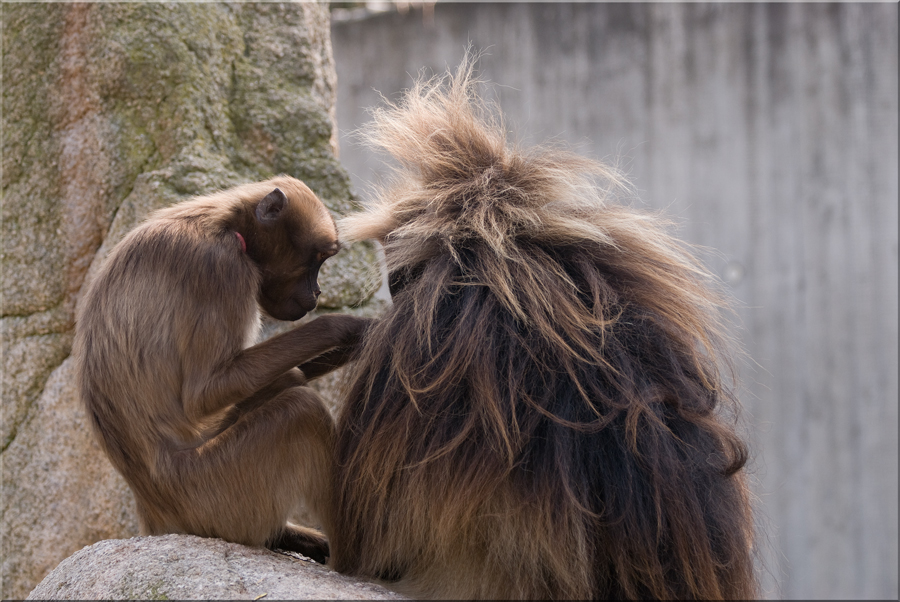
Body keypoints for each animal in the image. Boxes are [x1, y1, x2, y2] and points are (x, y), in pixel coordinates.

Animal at [71, 176, 366, 560]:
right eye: (315, 261)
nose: (317, 292)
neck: (227, 223)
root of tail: (153, 512)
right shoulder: (222, 269)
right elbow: (203, 395)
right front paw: (345, 328)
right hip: (212, 494)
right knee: (301, 409)